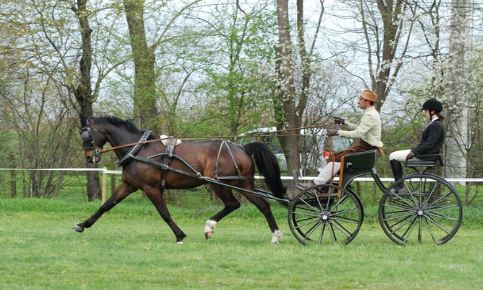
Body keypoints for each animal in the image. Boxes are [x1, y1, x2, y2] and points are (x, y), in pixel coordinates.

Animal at [75, 116, 288, 244]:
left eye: (86, 133)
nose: (89, 157)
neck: (139, 149)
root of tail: (242, 148)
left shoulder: (151, 188)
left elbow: (164, 214)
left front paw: (179, 235)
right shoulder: (129, 185)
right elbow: (106, 206)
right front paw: (82, 225)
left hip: (218, 184)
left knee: (233, 204)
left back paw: (209, 227)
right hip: (243, 183)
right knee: (262, 205)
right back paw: (275, 235)